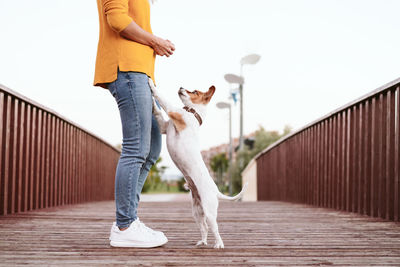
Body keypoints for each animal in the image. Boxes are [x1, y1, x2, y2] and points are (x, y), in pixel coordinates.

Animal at [147, 78, 247, 250]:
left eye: (194, 92)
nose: (181, 87)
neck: (192, 113)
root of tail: (216, 191)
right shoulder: (164, 126)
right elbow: (158, 111)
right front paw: (152, 100)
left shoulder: (173, 112)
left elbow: (163, 99)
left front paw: (151, 85)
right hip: (196, 212)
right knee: (204, 228)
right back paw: (202, 242)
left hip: (209, 211)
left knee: (214, 228)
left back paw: (219, 244)